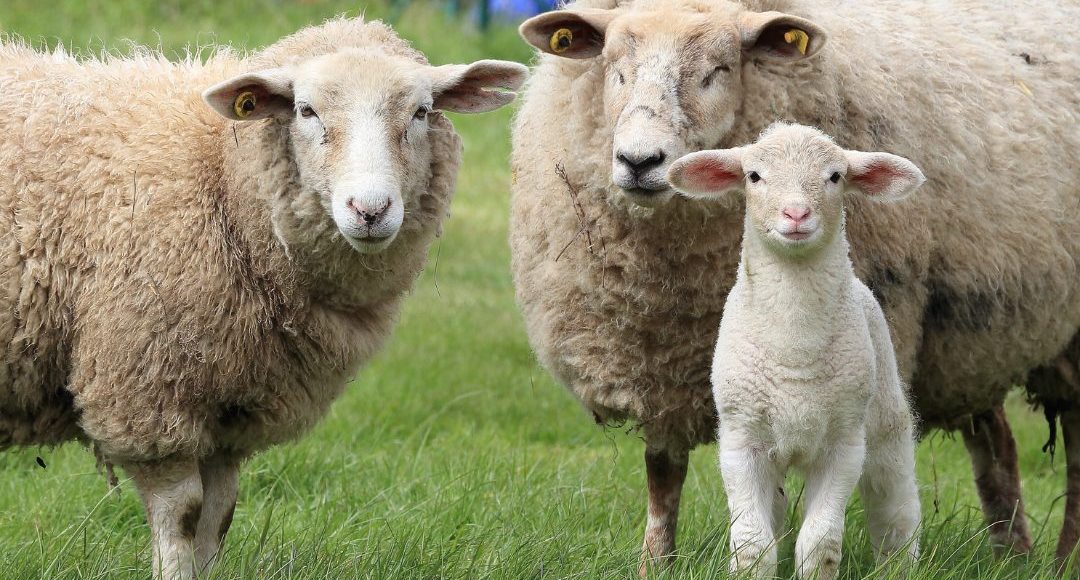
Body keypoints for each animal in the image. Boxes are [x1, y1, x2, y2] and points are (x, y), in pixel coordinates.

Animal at [0, 15, 527, 574]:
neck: (221, 175)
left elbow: (218, 517)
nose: (370, 209)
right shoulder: (145, 391)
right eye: (306, 110)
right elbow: (181, 514)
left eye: (422, 111)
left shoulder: (230, 412)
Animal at [665, 120, 920, 574]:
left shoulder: (843, 445)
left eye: (835, 176)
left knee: (895, 504)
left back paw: (898, 565)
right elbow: (752, 545)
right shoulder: (741, 441)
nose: (797, 214)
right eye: (753, 176)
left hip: (884, 418)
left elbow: (821, 544)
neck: (794, 348)